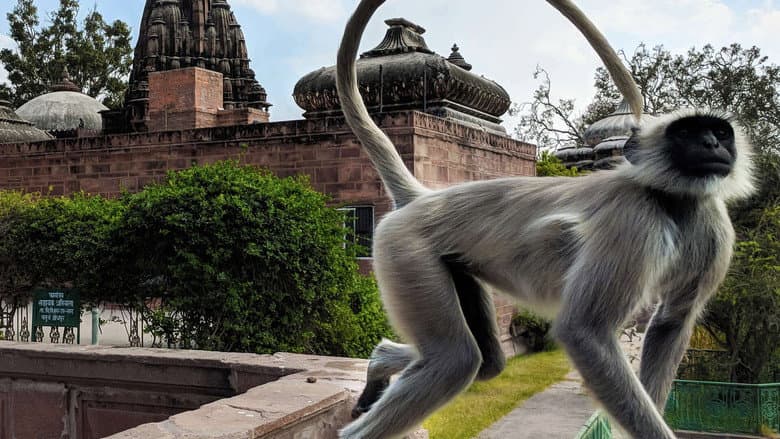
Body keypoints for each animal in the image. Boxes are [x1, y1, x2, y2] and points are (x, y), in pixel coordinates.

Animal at [335, 1, 755, 438]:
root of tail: (426, 198)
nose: (712, 144)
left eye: (719, 133)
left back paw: (379, 364)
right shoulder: (632, 221)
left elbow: (671, 322)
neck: (671, 199)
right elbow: (584, 331)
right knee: (456, 359)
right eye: (688, 133)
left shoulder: (713, 225)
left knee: (486, 361)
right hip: (406, 249)